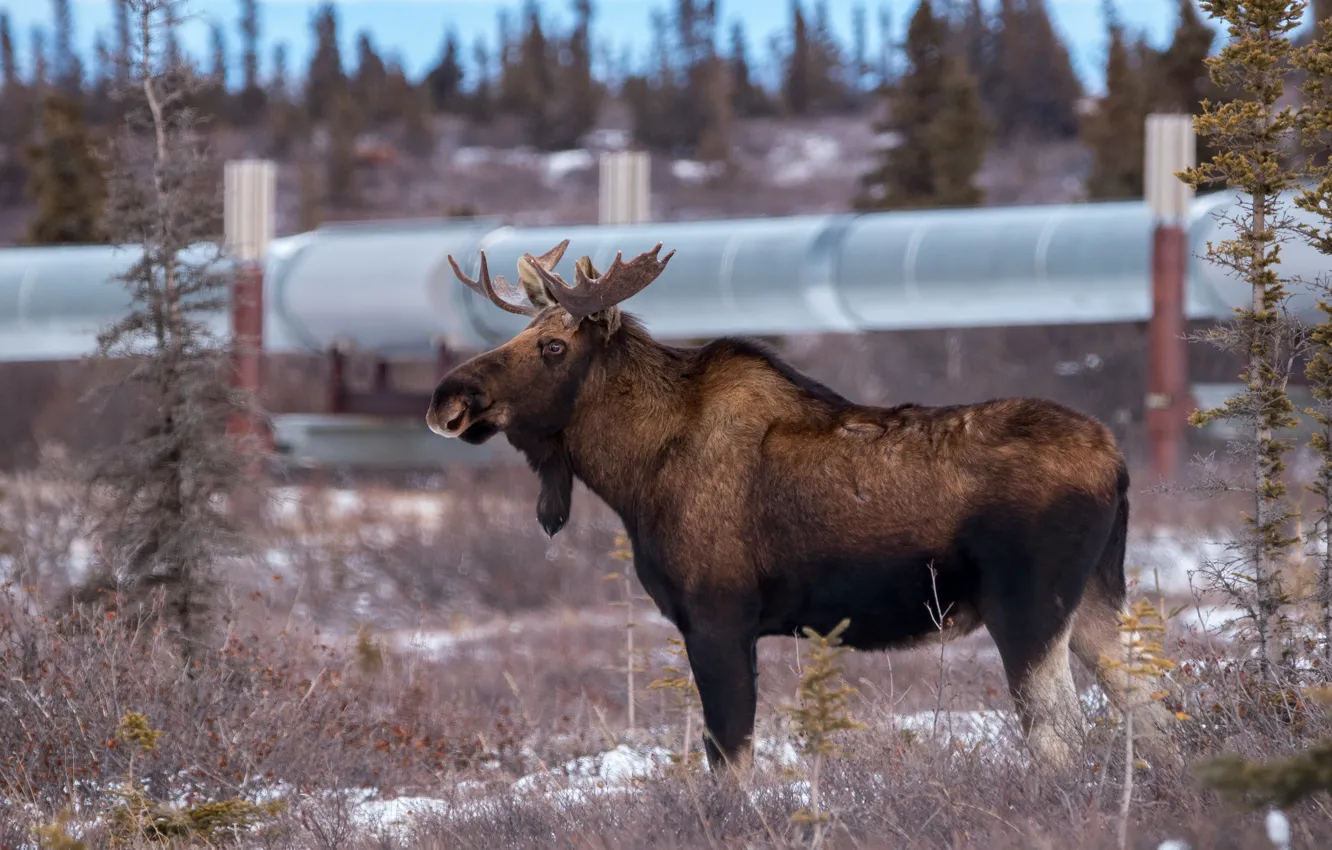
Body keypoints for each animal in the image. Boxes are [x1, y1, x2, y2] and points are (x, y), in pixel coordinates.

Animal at [423, 239, 1177, 778]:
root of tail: (1116, 463)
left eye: (552, 346)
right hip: (1096, 599)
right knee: (1156, 713)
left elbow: (730, 763)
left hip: (1027, 608)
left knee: (1062, 738)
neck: (633, 472)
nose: (446, 399)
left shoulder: (718, 617)